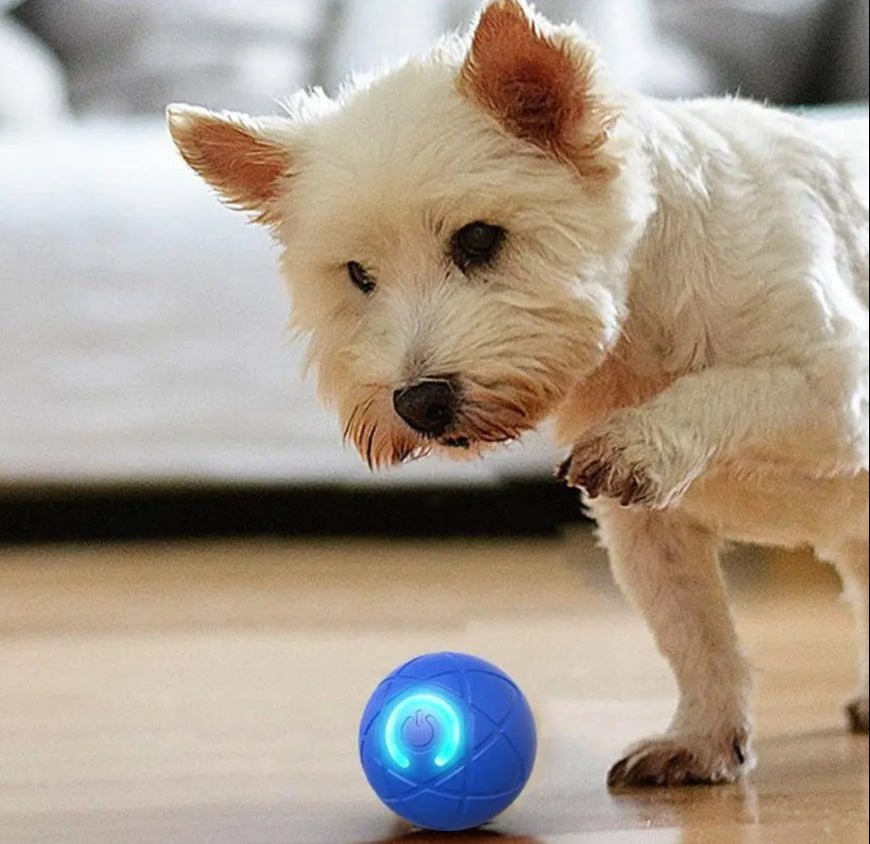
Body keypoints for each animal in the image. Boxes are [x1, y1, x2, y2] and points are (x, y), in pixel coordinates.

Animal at [167, 0, 868, 788]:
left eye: (479, 239)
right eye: (359, 275)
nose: (419, 404)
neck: (641, 323)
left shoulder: (836, 390)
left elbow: (729, 390)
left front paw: (641, 438)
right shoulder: (644, 532)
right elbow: (694, 633)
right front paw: (700, 740)